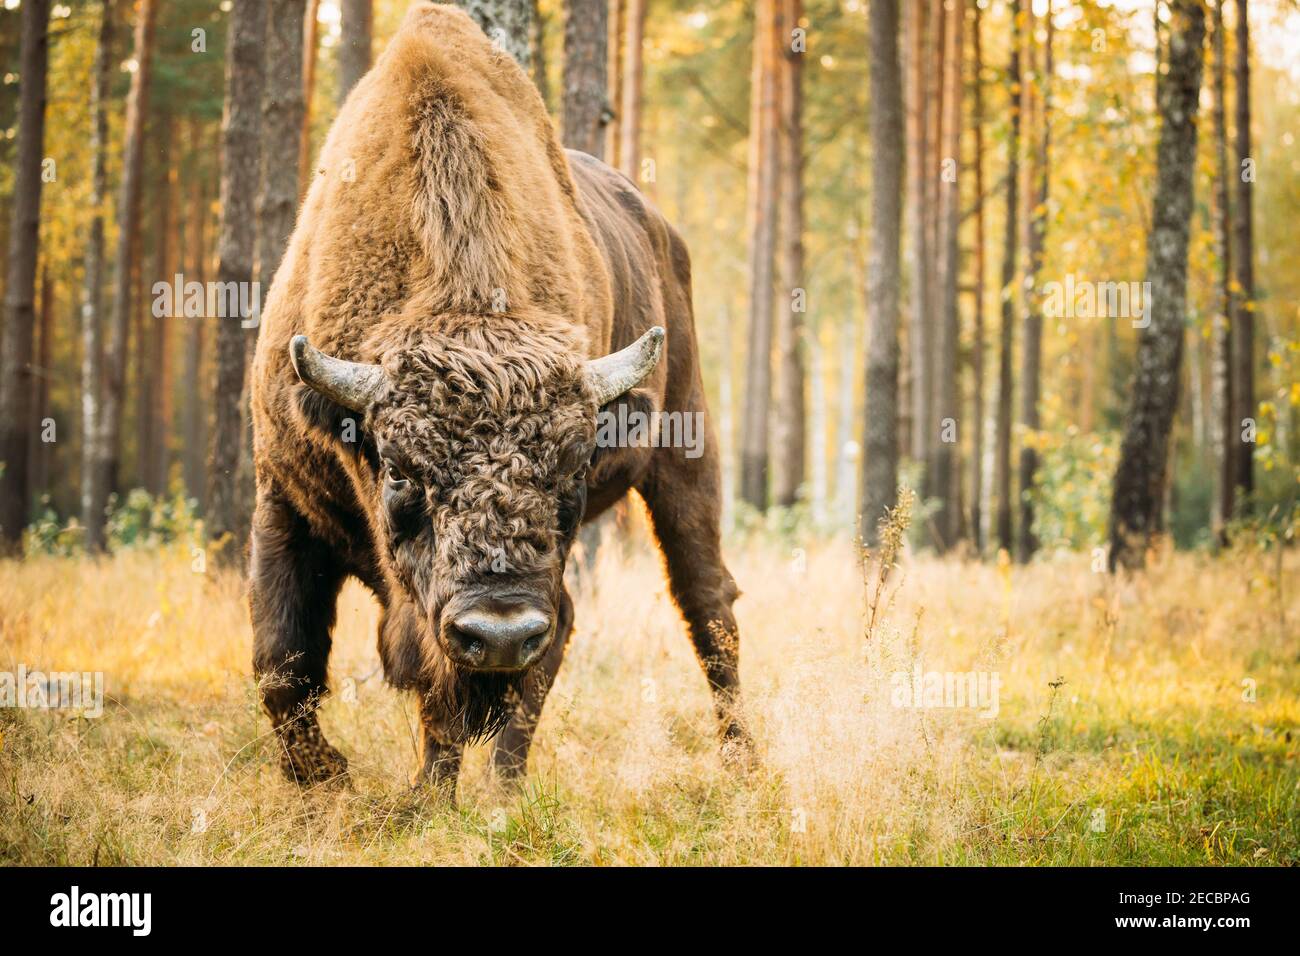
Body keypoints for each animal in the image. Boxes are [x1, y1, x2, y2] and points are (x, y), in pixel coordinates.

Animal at [248, 3, 748, 796]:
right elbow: (280, 659)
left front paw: (428, 800)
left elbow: (461, 689)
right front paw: (326, 780)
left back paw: (736, 765)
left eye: (574, 470)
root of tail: (660, 229)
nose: (501, 629)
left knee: (703, 604)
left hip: (684, 452)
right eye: (400, 471)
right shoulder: (283, 495)